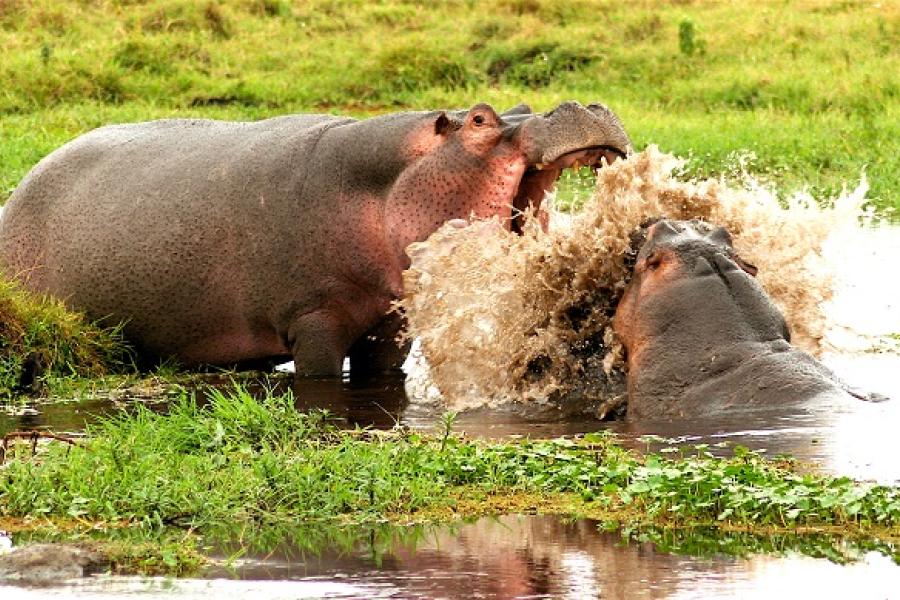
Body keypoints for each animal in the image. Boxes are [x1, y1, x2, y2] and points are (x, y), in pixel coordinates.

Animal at [0, 101, 628, 378]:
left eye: (523, 104)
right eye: (479, 119)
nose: (583, 103)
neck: (384, 180)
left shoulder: (388, 323)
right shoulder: (314, 316)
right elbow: (324, 376)